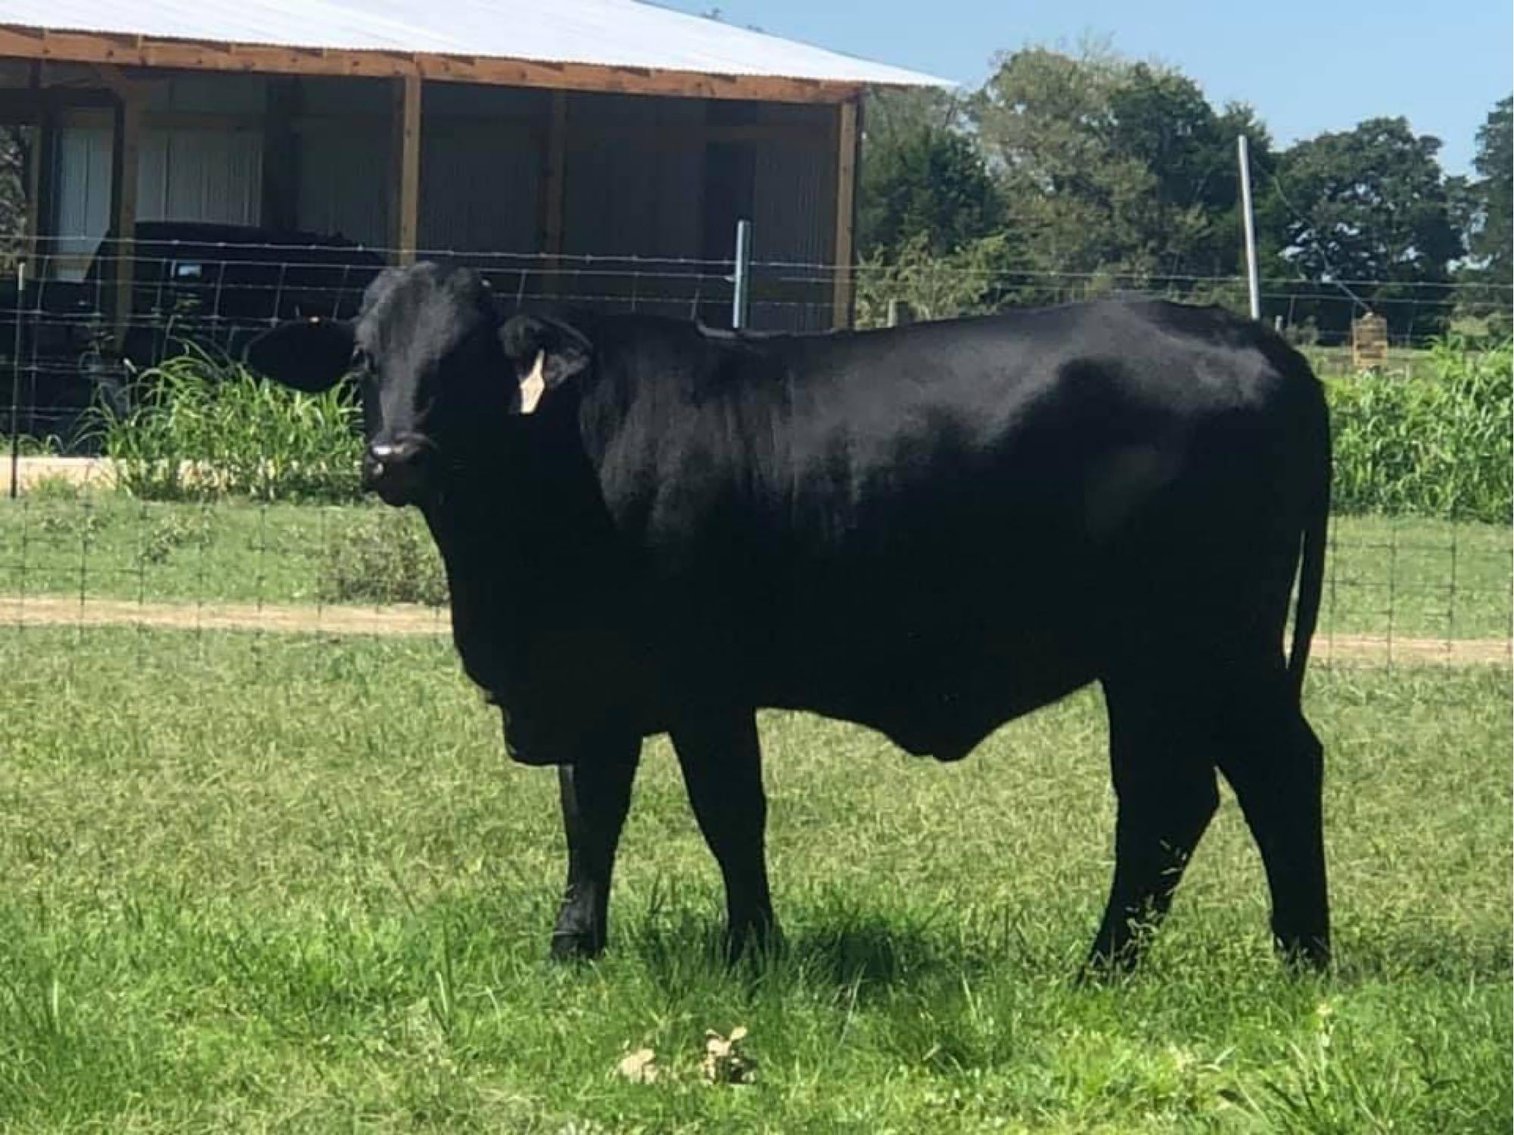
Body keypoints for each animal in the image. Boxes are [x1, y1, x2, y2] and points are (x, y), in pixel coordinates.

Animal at [243, 262, 1332, 975]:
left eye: (468, 358)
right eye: (363, 358)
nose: (396, 457)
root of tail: (1254, 340)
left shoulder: (701, 682)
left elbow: (730, 812)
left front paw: (752, 949)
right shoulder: (596, 680)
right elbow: (589, 812)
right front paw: (573, 946)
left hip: (1196, 647)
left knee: (1229, 783)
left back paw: (1227, 961)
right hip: (1170, 661)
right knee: (1197, 792)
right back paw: (1203, 958)